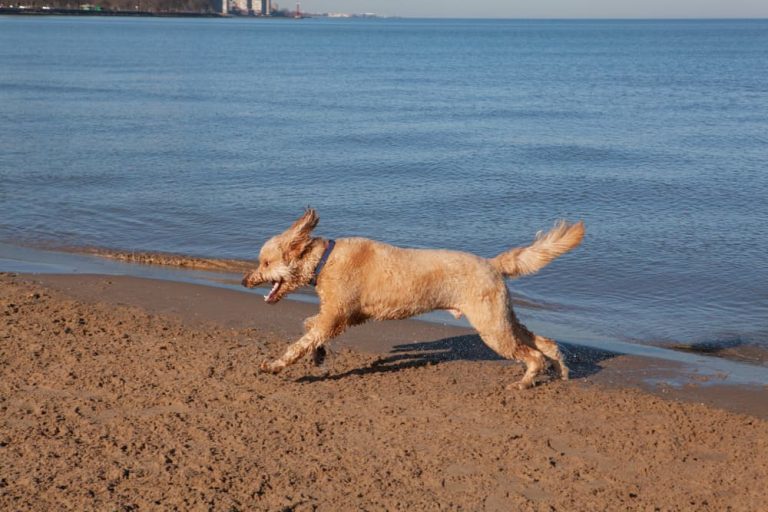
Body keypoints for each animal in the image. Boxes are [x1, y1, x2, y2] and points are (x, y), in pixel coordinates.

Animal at [243, 208, 584, 388]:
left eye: (265, 263)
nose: (245, 280)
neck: (325, 260)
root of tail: (492, 264)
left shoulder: (335, 316)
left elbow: (300, 342)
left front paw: (276, 365)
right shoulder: (341, 317)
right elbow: (309, 326)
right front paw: (319, 354)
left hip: (493, 328)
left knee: (533, 354)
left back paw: (524, 382)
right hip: (503, 319)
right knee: (545, 343)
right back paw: (561, 370)